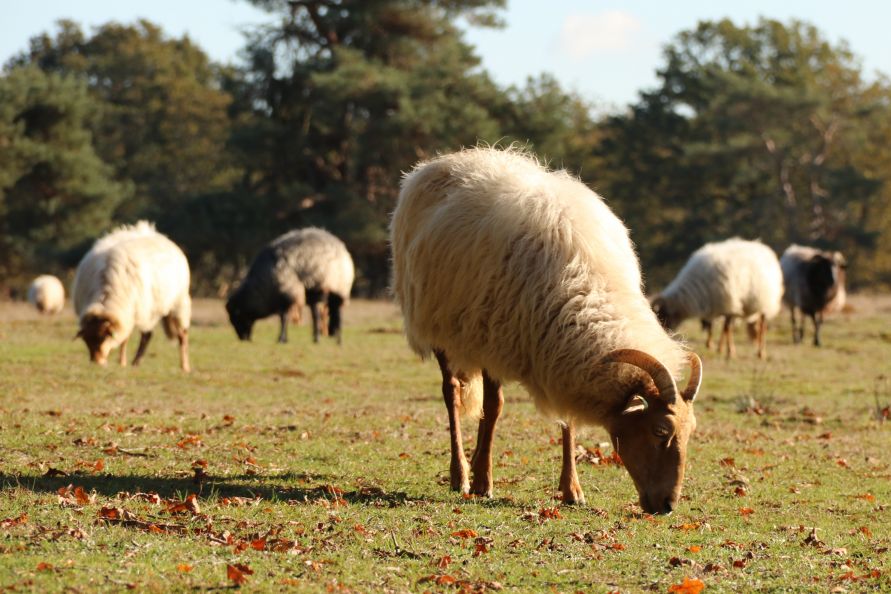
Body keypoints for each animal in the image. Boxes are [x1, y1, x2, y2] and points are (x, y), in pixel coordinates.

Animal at [226, 228, 356, 346]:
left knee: (332, 315)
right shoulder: (286, 298)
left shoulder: (287, 294)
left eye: (236, 317)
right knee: (325, 315)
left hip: (331, 287)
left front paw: (281, 339)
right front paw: (285, 339)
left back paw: (330, 340)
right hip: (326, 290)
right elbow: (286, 317)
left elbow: (284, 318)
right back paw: (327, 340)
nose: (243, 338)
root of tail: (342, 248)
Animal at [390, 148, 704, 512]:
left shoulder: (558, 354)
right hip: (440, 325)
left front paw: (571, 489)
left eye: (690, 432)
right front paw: (483, 482)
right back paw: (462, 475)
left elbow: (565, 420)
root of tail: (449, 159)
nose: (668, 505)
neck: (585, 288)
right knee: (452, 394)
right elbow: (494, 407)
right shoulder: (495, 336)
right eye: (659, 431)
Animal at [652, 237, 784, 358]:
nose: (662, 337)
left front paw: (730, 352)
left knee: (762, 327)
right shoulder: (715, 305)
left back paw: (761, 352)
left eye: (663, 316)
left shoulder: (728, 304)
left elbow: (726, 328)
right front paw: (713, 346)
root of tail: (763, 247)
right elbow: (712, 326)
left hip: (765, 303)